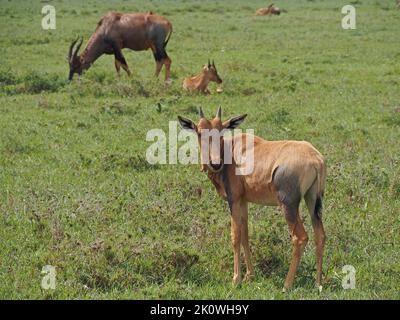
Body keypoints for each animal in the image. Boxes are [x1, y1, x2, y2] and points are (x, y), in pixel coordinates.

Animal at [177, 105, 326, 290]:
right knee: (320, 235)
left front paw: (236, 279)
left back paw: (286, 285)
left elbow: (235, 235)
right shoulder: (243, 201)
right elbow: (245, 234)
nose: (215, 163)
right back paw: (318, 284)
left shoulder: (234, 200)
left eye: (221, 131)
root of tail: (316, 159)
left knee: (300, 237)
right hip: (313, 201)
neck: (232, 150)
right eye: (199, 132)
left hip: (289, 205)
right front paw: (249, 275)